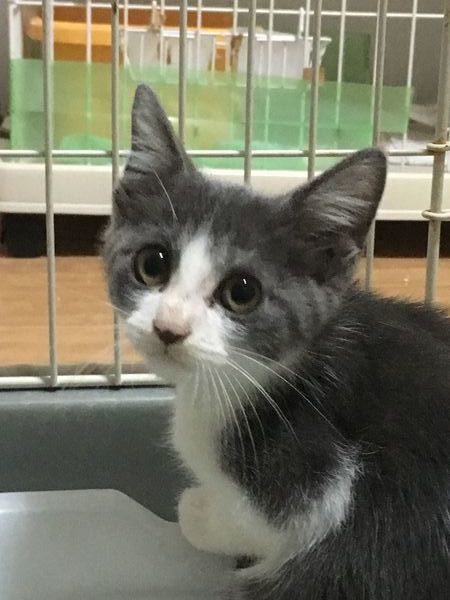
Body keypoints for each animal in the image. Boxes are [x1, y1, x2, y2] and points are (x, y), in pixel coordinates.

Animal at [103, 84, 450, 599]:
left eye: (242, 292)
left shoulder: (318, 486)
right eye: (152, 264)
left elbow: (253, 523)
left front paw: (196, 510)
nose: (169, 327)